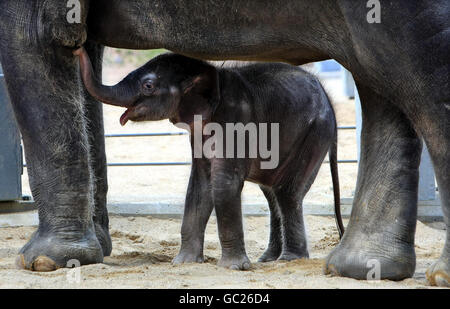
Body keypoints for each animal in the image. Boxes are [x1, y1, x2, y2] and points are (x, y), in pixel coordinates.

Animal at [74, 46, 344, 270]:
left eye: (148, 86)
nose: (77, 49)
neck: (210, 73)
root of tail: (330, 100)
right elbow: (200, 185)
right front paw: (184, 263)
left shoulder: (236, 124)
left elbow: (223, 183)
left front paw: (233, 267)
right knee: (272, 193)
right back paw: (268, 259)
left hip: (314, 134)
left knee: (286, 193)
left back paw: (290, 260)